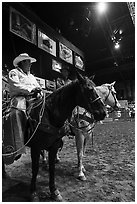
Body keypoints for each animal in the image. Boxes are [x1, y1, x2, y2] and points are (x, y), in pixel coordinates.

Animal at [20, 73, 106, 201]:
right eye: (89, 89)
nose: (103, 112)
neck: (49, 115)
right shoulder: (36, 147)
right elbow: (35, 169)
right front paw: (33, 193)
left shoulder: (60, 143)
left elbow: (53, 168)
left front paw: (54, 191)